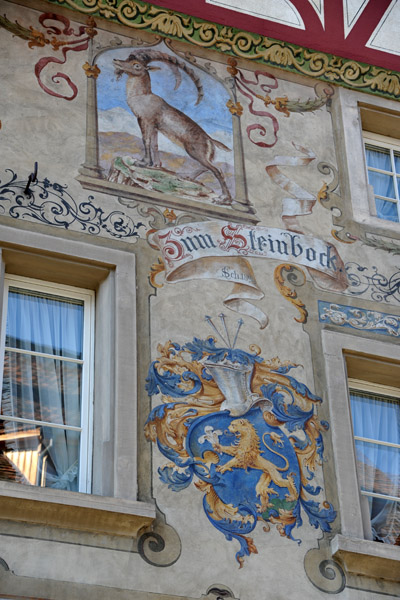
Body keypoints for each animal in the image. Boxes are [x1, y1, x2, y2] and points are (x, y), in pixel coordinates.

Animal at [113, 50, 231, 204]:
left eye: (136, 65)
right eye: (127, 59)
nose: (116, 61)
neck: (142, 96)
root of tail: (210, 139)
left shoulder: (145, 121)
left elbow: (146, 141)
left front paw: (142, 162)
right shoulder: (155, 128)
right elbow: (155, 145)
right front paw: (156, 165)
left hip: (195, 152)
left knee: (217, 170)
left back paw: (223, 198)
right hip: (201, 156)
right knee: (207, 167)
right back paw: (187, 177)